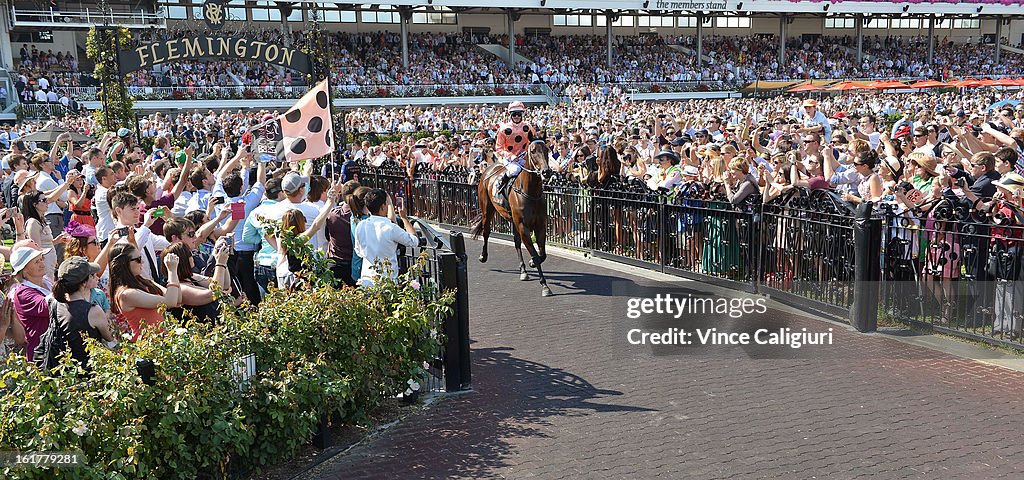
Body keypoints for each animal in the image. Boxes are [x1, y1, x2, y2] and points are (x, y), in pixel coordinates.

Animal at [471, 138, 552, 294]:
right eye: (533, 151)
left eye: (547, 150)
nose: (546, 171)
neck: (530, 192)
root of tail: (489, 169)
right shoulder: (523, 226)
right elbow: (535, 254)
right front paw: (545, 285)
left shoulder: (540, 225)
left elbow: (542, 254)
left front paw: (531, 264)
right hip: (487, 210)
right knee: (486, 231)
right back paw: (483, 256)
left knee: (516, 242)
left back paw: (523, 271)